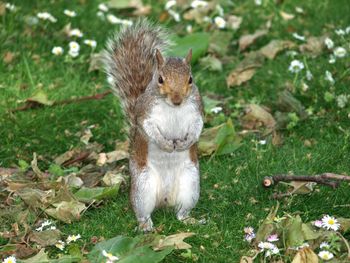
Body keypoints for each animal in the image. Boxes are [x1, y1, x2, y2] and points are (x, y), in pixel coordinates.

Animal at [102, 19, 204, 232]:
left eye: (190, 79)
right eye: (160, 79)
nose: (177, 100)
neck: (172, 107)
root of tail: (164, 200)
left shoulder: (197, 111)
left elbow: (198, 126)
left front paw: (185, 143)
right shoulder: (144, 115)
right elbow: (148, 128)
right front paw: (165, 144)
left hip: (190, 183)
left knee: (181, 212)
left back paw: (188, 219)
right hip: (143, 185)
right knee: (143, 211)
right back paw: (145, 225)